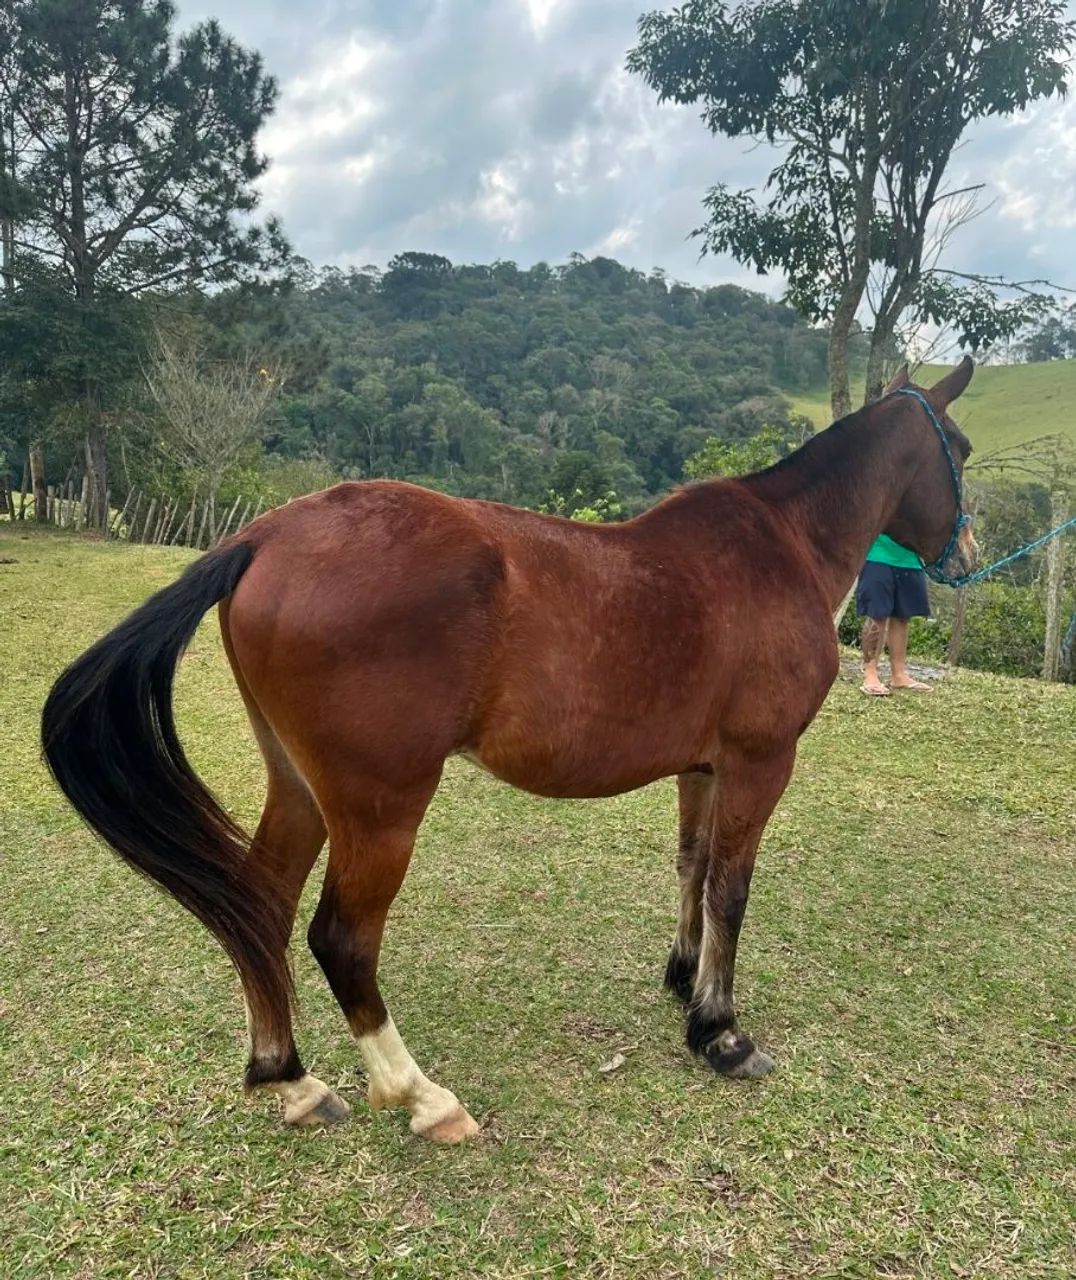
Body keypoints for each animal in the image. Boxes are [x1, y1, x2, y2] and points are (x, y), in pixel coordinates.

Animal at [41, 359, 977, 1143]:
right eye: (960, 449)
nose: (964, 550)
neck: (779, 546)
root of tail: (263, 536)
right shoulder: (759, 761)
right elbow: (731, 889)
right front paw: (720, 1032)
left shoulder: (702, 768)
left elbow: (692, 866)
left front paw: (683, 978)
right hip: (380, 807)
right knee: (341, 938)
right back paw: (421, 1096)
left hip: (299, 788)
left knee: (260, 907)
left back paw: (290, 1079)